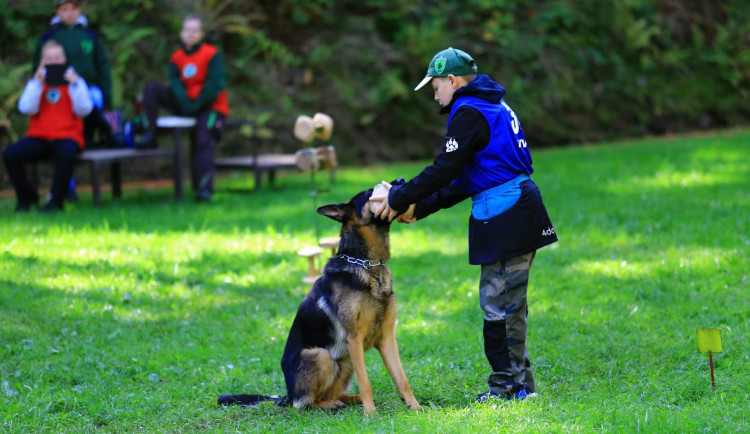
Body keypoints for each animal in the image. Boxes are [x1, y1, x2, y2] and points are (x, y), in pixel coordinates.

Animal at [222, 187, 424, 418]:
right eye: (369, 193)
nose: (400, 183)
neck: (366, 264)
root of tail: (287, 395)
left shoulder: (387, 338)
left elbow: (401, 378)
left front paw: (414, 406)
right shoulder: (354, 338)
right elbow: (366, 383)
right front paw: (371, 415)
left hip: (346, 361)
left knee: (331, 395)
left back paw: (349, 400)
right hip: (322, 356)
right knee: (305, 404)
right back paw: (335, 404)